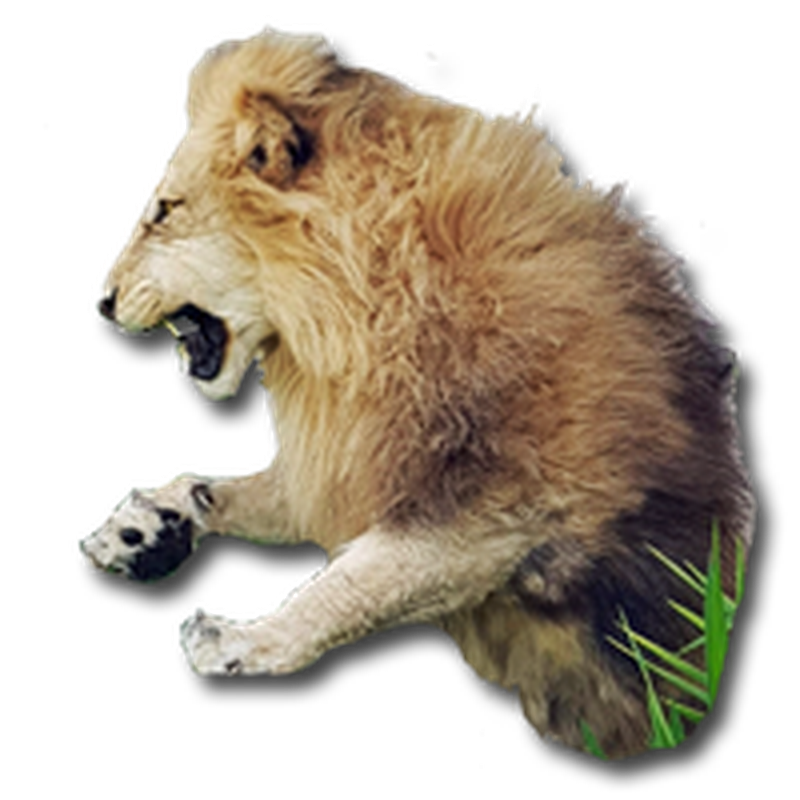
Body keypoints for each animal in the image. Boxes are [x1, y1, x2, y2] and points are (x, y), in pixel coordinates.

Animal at [78, 25, 755, 758]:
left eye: (164, 212)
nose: (101, 303)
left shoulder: (507, 505)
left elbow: (358, 581)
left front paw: (241, 641)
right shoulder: (354, 461)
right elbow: (249, 495)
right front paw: (146, 526)